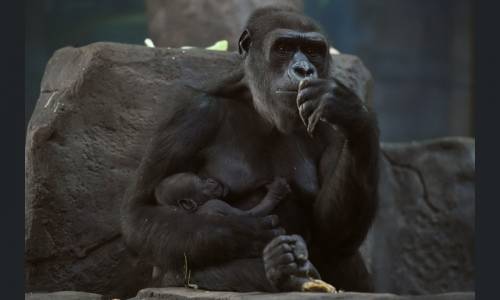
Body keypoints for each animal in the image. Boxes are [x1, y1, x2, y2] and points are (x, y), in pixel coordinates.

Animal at [154, 172, 292, 217]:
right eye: (200, 182)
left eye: (200, 177)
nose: (211, 180)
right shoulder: (216, 204)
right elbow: (247, 215)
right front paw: (276, 191)